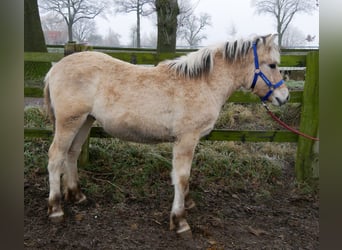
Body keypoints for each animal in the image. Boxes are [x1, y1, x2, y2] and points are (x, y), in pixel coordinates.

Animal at [42, 33, 288, 236]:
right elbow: (181, 177)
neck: (203, 83)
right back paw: (55, 209)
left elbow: (184, 176)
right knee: (55, 157)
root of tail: (54, 69)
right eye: (272, 64)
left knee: (71, 153)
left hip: (85, 121)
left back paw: (76, 195)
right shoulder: (186, 139)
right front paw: (180, 221)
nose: (284, 97)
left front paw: (187, 203)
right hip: (69, 122)